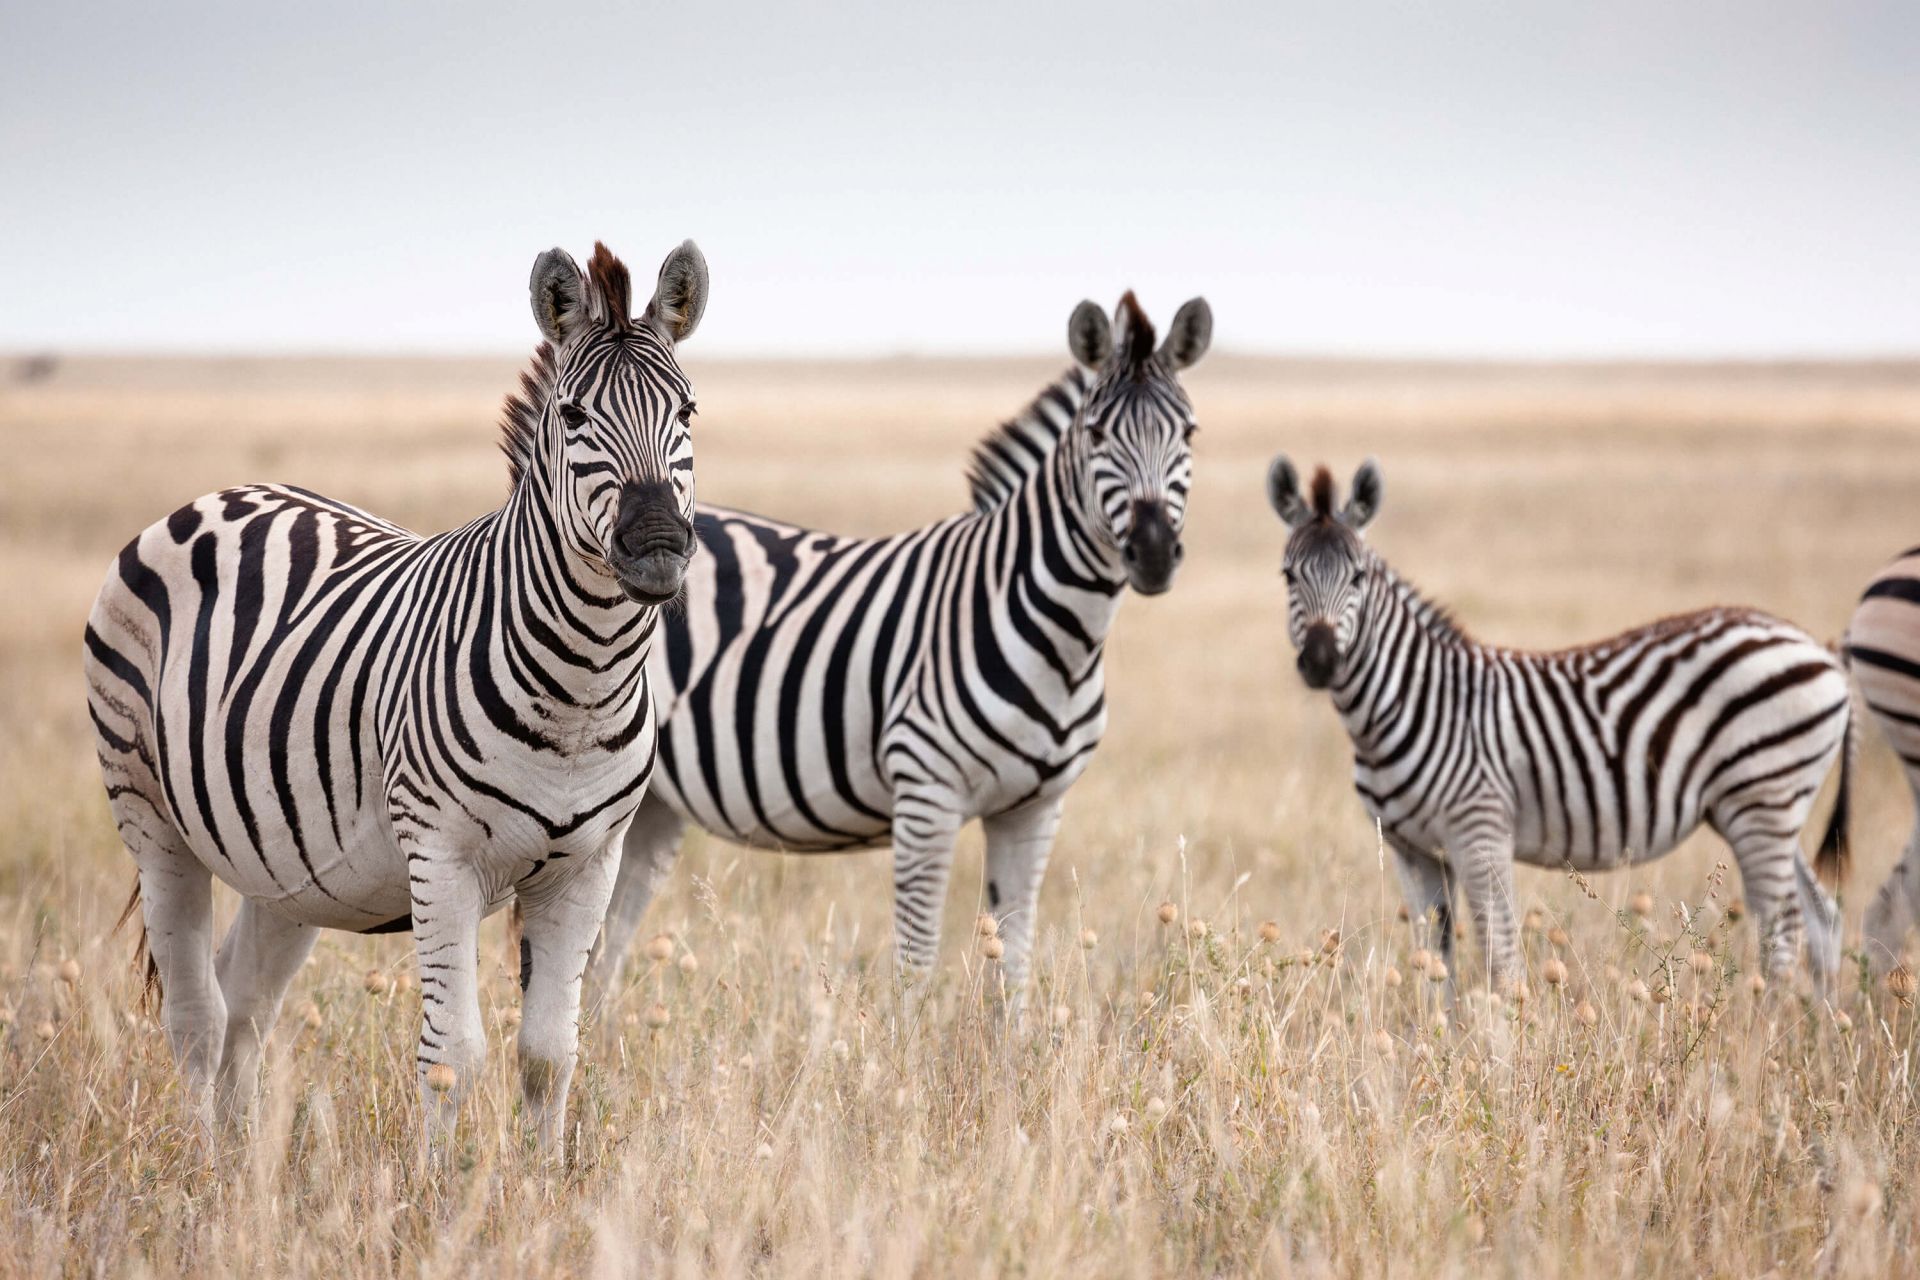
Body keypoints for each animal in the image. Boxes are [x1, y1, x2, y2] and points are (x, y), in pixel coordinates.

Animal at [83, 239, 708, 1152]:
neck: (580, 689)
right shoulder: (441, 856)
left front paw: (547, 1180)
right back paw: (206, 1169)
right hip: (150, 817)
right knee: (197, 1016)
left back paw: (243, 1164)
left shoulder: (591, 864)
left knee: (245, 1004)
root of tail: (217, 495)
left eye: (688, 412)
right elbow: (453, 1055)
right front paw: (438, 1188)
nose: (659, 546)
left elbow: (550, 1052)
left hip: (288, 867)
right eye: (572, 417)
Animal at [590, 291, 1212, 1002]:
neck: (1063, 640)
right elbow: (915, 967)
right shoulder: (926, 792)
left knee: (603, 949)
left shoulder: (1034, 809)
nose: (1154, 553)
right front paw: (905, 1036)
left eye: (1189, 434)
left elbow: (1013, 964)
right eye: (1097, 435)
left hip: (654, 804)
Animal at [1265, 456, 1848, 994]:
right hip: (1768, 806)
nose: (1320, 661)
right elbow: (1435, 961)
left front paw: (1501, 1037)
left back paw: (1765, 1032)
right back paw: (1816, 1030)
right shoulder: (1412, 851)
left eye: (1358, 577)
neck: (1403, 705)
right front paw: (1438, 1036)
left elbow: (1500, 959)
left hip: (1762, 800)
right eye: (1288, 575)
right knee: (1821, 920)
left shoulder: (1480, 830)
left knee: (1784, 932)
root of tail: (1818, 648)